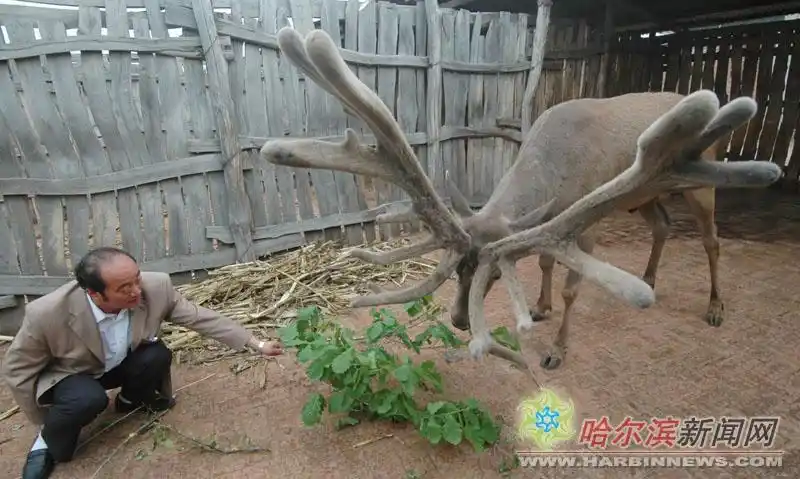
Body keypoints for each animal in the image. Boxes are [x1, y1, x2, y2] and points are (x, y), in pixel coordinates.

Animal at [259, 26, 783, 373]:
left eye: (491, 276)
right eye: (459, 269)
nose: (458, 320)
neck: (555, 167)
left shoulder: (584, 227)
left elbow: (572, 287)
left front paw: (556, 348)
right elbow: (546, 262)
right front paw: (539, 306)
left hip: (703, 180)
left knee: (711, 240)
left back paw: (716, 307)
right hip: (646, 195)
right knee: (662, 226)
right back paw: (650, 277)